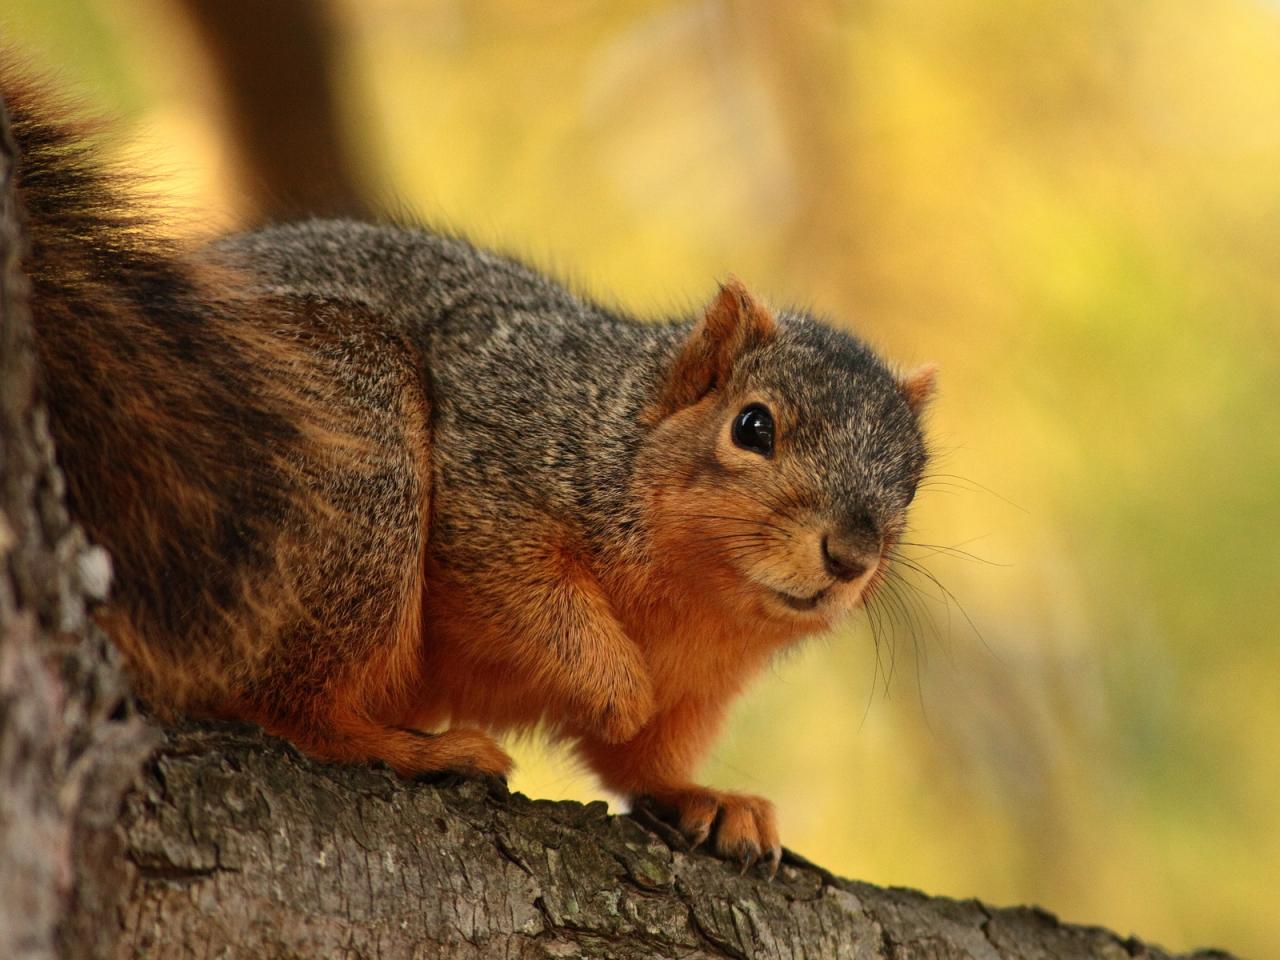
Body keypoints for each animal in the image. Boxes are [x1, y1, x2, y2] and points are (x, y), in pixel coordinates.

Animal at [5, 79, 936, 875]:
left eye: (913, 479)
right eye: (753, 427)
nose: (851, 555)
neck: (694, 597)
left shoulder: (703, 688)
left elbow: (643, 760)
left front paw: (704, 797)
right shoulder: (495, 476)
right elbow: (528, 596)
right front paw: (616, 688)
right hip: (347, 443)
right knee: (292, 703)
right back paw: (409, 748)